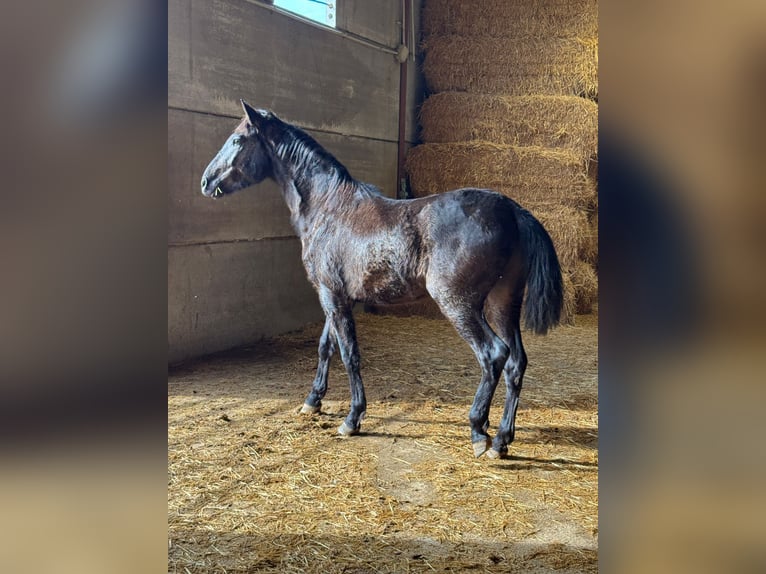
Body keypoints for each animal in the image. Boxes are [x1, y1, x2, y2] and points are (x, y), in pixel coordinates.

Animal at [201, 100, 563, 459]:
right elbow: (325, 346)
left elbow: (349, 354)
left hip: (460, 305)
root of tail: (513, 211)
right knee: (515, 362)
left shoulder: (332, 296)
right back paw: (501, 440)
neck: (329, 208)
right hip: (503, 303)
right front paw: (312, 401)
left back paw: (478, 431)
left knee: (493, 355)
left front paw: (352, 418)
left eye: (237, 140)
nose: (206, 181)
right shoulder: (335, 296)